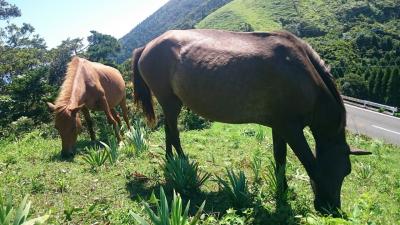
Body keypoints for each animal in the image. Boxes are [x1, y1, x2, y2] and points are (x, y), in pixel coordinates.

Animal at [132, 29, 372, 213]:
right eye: (337, 170)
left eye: (346, 172)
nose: (332, 209)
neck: (303, 76)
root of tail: (145, 47)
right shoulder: (291, 130)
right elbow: (309, 162)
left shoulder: (279, 127)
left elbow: (280, 159)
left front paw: (282, 191)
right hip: (170, 103)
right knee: (174, 133)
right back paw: (184, 167)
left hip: (170, 104)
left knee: (168, 131)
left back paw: (171, 162)